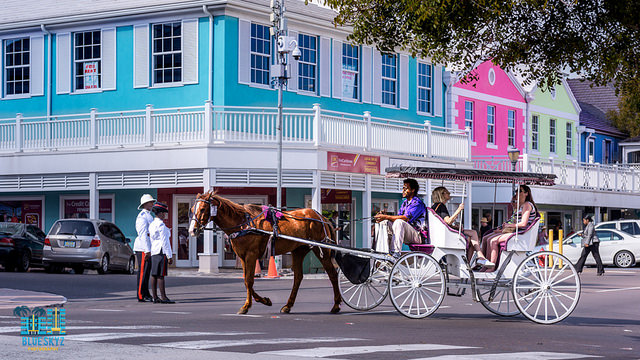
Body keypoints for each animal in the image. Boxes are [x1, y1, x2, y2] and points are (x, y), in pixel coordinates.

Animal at [188, 191, 342, 316]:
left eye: (202, 209)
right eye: (192, 209)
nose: (192, 230)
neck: (243, 224)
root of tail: (321, 216)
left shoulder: (251, 255)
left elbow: (249, 280)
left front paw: (246, 306)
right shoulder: (243, 257)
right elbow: (246, 281)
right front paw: (264, 300)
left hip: (321, 250)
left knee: (332, 274)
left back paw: (336, 305)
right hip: (298, 250)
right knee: (298, 277)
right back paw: (288, 305)